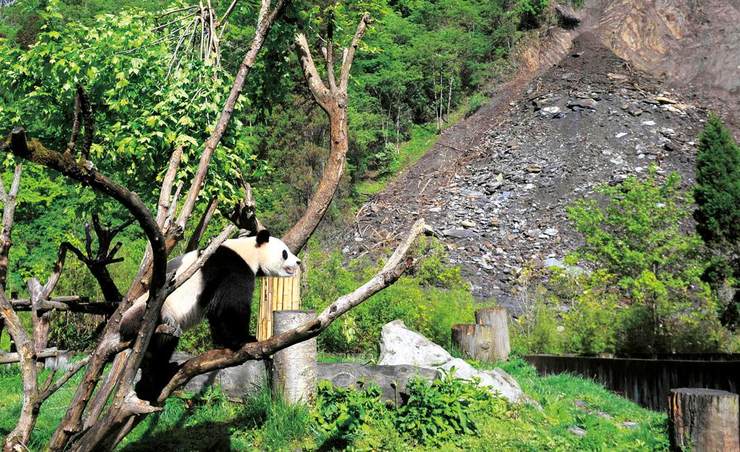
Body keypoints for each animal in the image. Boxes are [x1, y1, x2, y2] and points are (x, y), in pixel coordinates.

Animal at [120, 230, 300, 400]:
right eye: (285, 253)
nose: (298, 262)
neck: (248, 251)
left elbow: (217, 312)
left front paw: (222, 344)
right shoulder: (233, 268)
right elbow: (231, 305)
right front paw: (244, 339)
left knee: (160, 349)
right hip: (156, 314)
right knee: (158, 343)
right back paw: (154, 383)